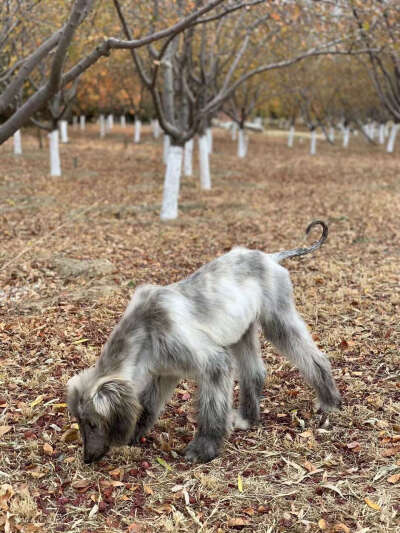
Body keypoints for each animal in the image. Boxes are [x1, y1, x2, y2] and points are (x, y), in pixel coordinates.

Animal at [68, 219, 340, 462]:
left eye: (92, 423)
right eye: (80, 422)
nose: (87, 458)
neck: (145, 330)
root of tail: (269, 257)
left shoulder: (212, 363)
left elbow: (212, 410)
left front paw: (204, 448)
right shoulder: (164, 372)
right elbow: (148, 404)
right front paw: (136, 433)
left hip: (278, 320)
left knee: (314, 357)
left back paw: (330, 401)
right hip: (241, 331)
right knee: (255, 372)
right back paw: (248, 418)